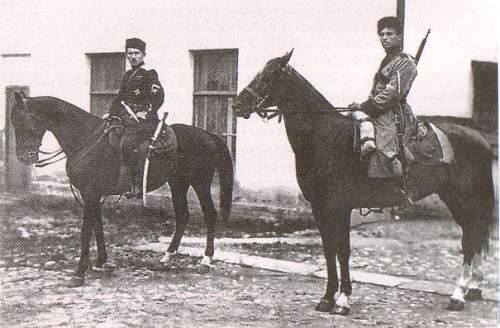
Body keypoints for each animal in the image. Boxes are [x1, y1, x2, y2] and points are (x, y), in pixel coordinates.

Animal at [9, 92, 232, 288]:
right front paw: (100, 263)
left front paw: (79, 273)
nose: (23, 157)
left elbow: (85, 231)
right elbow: (97, 226)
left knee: (209, 214)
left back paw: (206, 260)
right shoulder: (93, 195)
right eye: (14, 123)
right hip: (178, 183)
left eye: (25, 121)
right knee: (183, 215)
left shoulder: (90, 194)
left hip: (200, 183)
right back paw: (167, 257)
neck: (86, 139)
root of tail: (207, 134)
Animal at [231, 51, 496, 316]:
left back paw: (458, 295)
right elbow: (329, 249)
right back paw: (473, 289)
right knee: (474, 235)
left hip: (465, 199)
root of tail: (480, 139)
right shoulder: (319, 207)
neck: (324, 136)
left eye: (267, 75)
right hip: (455, 199)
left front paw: (343, 299)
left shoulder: (340, 206)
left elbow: (343, 250)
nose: (237, 105)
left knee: (470, 240)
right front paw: (327, 298)